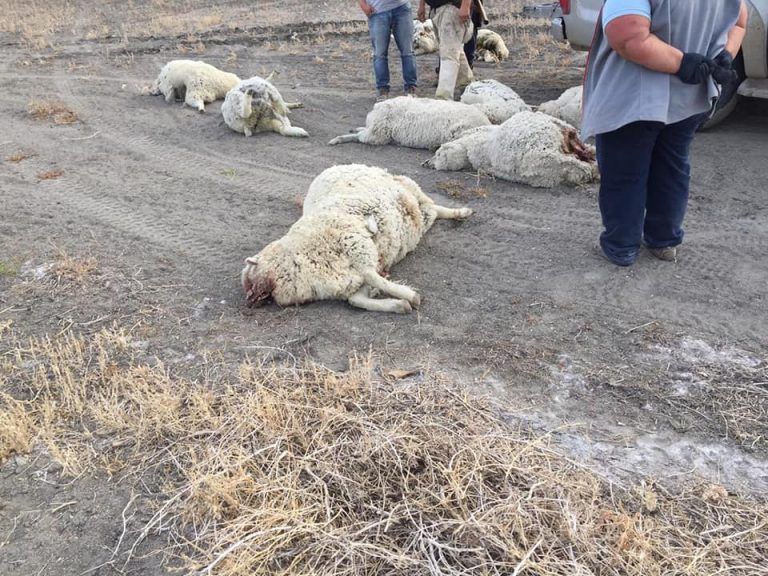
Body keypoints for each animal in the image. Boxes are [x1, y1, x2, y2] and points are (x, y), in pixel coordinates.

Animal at [240, 164, 472, 312]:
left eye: (249, 277)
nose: (248, 301)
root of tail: (336, 165)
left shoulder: (357, 244)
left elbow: (374, 278)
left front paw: (409, 296)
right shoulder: (351, 281)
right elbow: (357, 301)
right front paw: (398, 304)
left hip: (411, 188)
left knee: (435, 207)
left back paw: (461, 212)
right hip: (416, 207)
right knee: (431, 213)